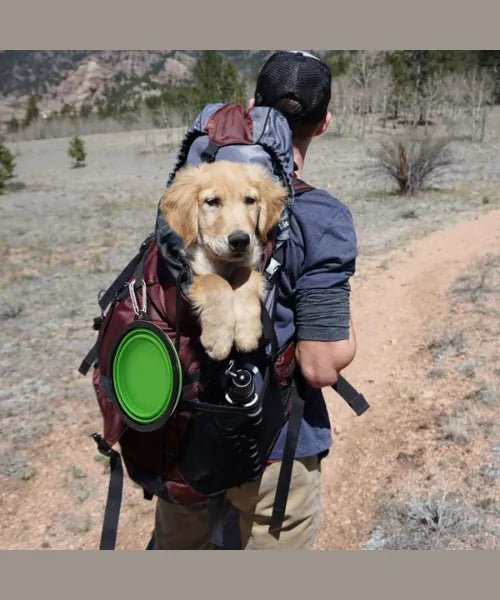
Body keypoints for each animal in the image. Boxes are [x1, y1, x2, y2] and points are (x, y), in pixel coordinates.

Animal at [159, 159, 286, 360]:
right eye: (212, 202)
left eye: (250, 200)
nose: (240, 240)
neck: (224, 262)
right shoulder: (192, 273)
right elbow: (215, 281)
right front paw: (219, 339)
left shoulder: (251, 263)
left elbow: (245, 275)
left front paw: (247, 332)